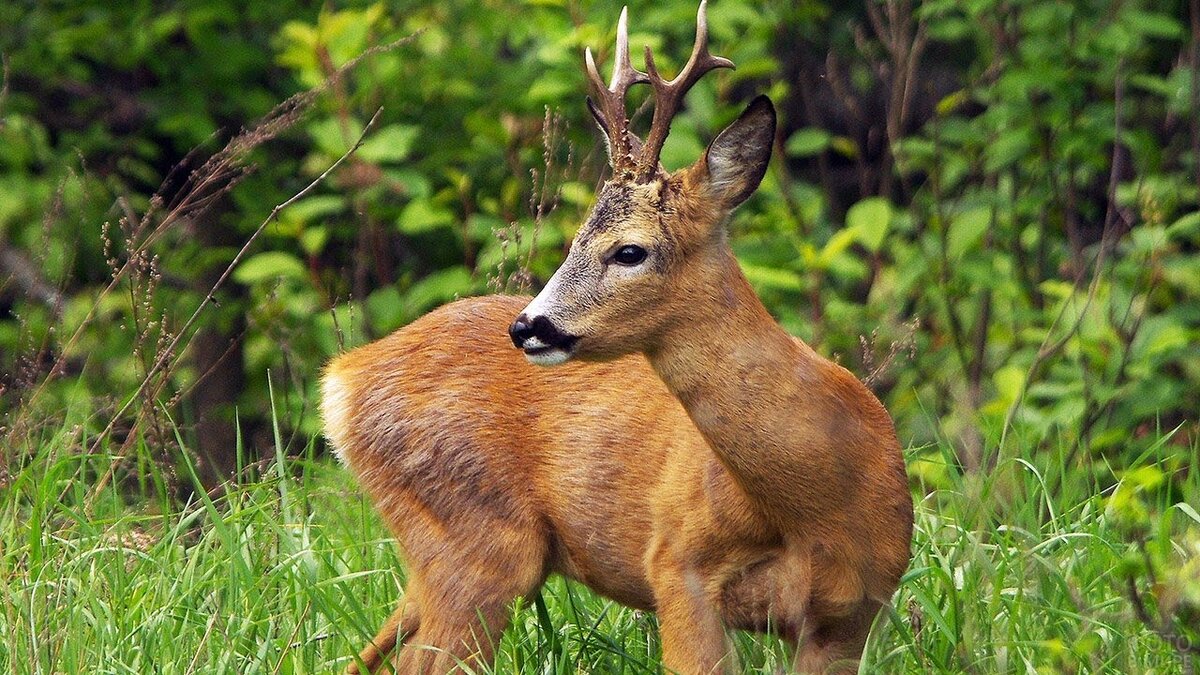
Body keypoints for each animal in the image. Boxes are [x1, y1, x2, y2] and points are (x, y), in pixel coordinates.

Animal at [319, 2, 907, 667]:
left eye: (629, 250)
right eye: (575, 237)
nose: (528, 326)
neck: (819, 500)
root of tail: (342, 381)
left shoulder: (852, 615)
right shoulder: (676, 565)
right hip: (475, 537)